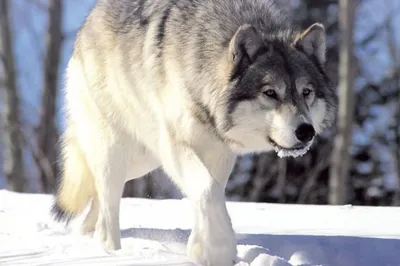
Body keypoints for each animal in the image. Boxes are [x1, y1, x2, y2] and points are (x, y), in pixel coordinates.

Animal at [50, 0, 338, 264]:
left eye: (306, 92)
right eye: (270, 93)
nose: (306, 132)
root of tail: (88, 22)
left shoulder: (219, 152)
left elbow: (210, 194)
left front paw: (201, 249)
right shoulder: (176, 145)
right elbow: (208, 190)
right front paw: (218, 249)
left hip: (142, 161)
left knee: (96, 199)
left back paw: (88, 238)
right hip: (118, 152)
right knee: (107, 207)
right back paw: (110, 251)